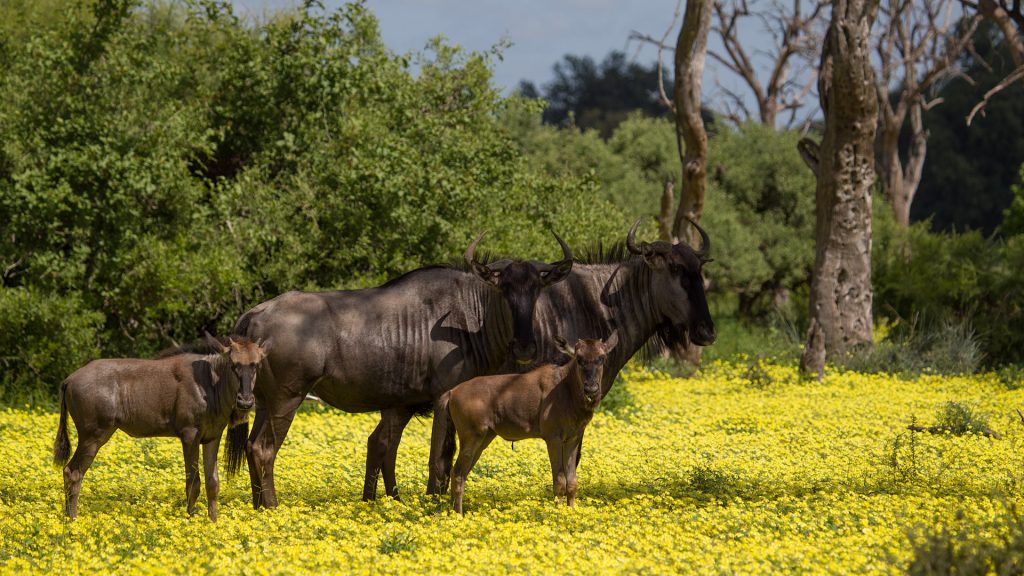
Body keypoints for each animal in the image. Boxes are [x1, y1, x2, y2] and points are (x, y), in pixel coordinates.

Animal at [52, 332, 270, 520]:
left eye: (256, 365)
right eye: (233, 364)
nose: (245, 401)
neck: (211, 385)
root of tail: (68, 380)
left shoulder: (212, 436)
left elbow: (213, 483)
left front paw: (213, 521)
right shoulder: (189, 434)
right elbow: (193, 483)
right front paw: (190, 518)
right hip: (93, 435)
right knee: (73, 472)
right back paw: (72, 519)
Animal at [440, 332, 614, 510]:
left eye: (601, 358)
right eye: (579, 358)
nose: (591, 388)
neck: (567, 388)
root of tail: (451, 393)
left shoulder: (573, 438)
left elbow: (572, 482)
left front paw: (570, 510)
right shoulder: (553, 437)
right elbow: (559, 482)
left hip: (485, 437)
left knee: (462, 473)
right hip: (471, 436)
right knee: (457, 473)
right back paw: (458, 514)